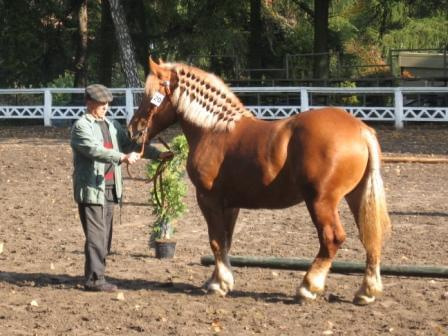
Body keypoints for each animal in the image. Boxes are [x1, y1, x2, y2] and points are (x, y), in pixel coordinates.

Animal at [128, 59, 390, 306]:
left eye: (149, 95)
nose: (133, 129)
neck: (214, 130)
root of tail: (360, 129)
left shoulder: (208, 199)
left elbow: (215, 240)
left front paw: (219, 284)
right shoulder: (230, 204)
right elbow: (225, 240)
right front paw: (219, 280)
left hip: (321, 201)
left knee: (331, 239)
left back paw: (308, 287)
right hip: (356, 196)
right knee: (370, 237)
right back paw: (366, 291)